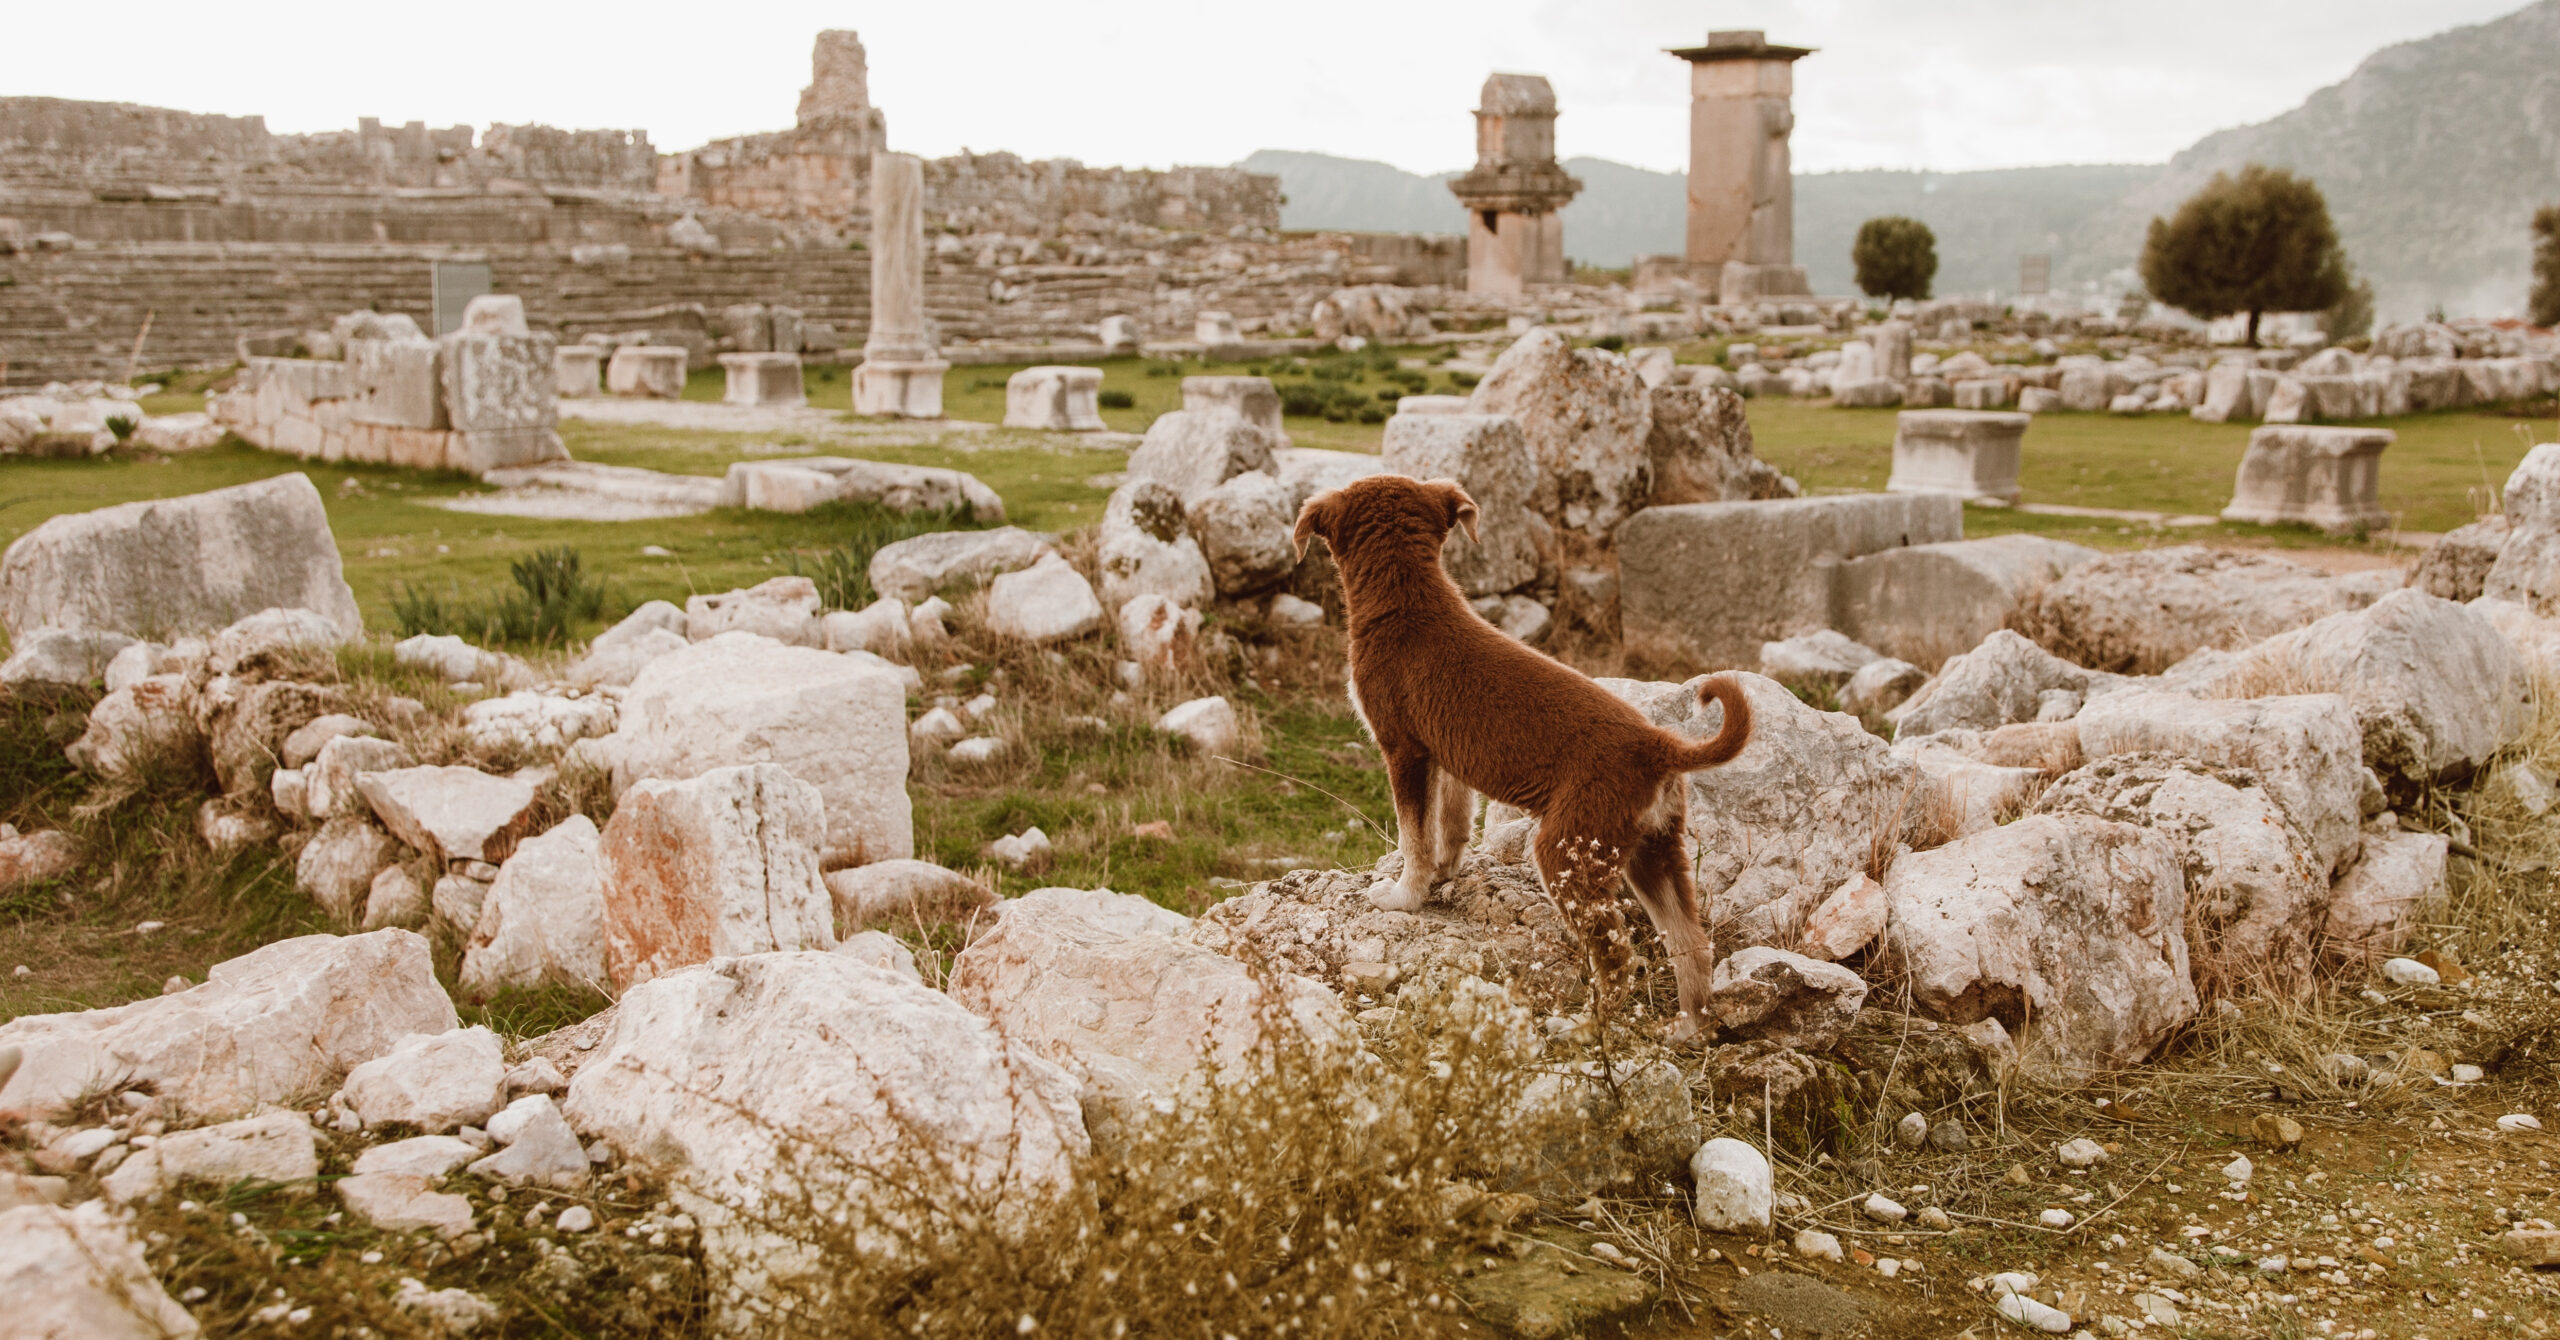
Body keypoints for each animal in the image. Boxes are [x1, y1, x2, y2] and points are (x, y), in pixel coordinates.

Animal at [1290, 476, 1751, 1045]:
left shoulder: (1403, 748)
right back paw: (1688, 1028)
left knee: (1619, 958)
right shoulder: (1446, 756)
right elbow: (1452, 824)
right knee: (1690, 942)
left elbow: (1413, 836)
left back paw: (1584, 1028)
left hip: (1567, 853)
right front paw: (1444, 874)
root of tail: (1658, 746)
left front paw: (1404, 896)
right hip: (1654, 851)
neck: (1409, 603)